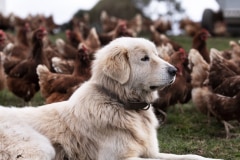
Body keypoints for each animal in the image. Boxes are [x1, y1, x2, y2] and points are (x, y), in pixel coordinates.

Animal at [0, 37, 221, 160]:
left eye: (157, 54)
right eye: (144, 58)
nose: (175, 70)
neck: (122, 103)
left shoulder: (152, 152)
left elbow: (191, 156)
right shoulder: (120, 158)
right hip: (40, 146)